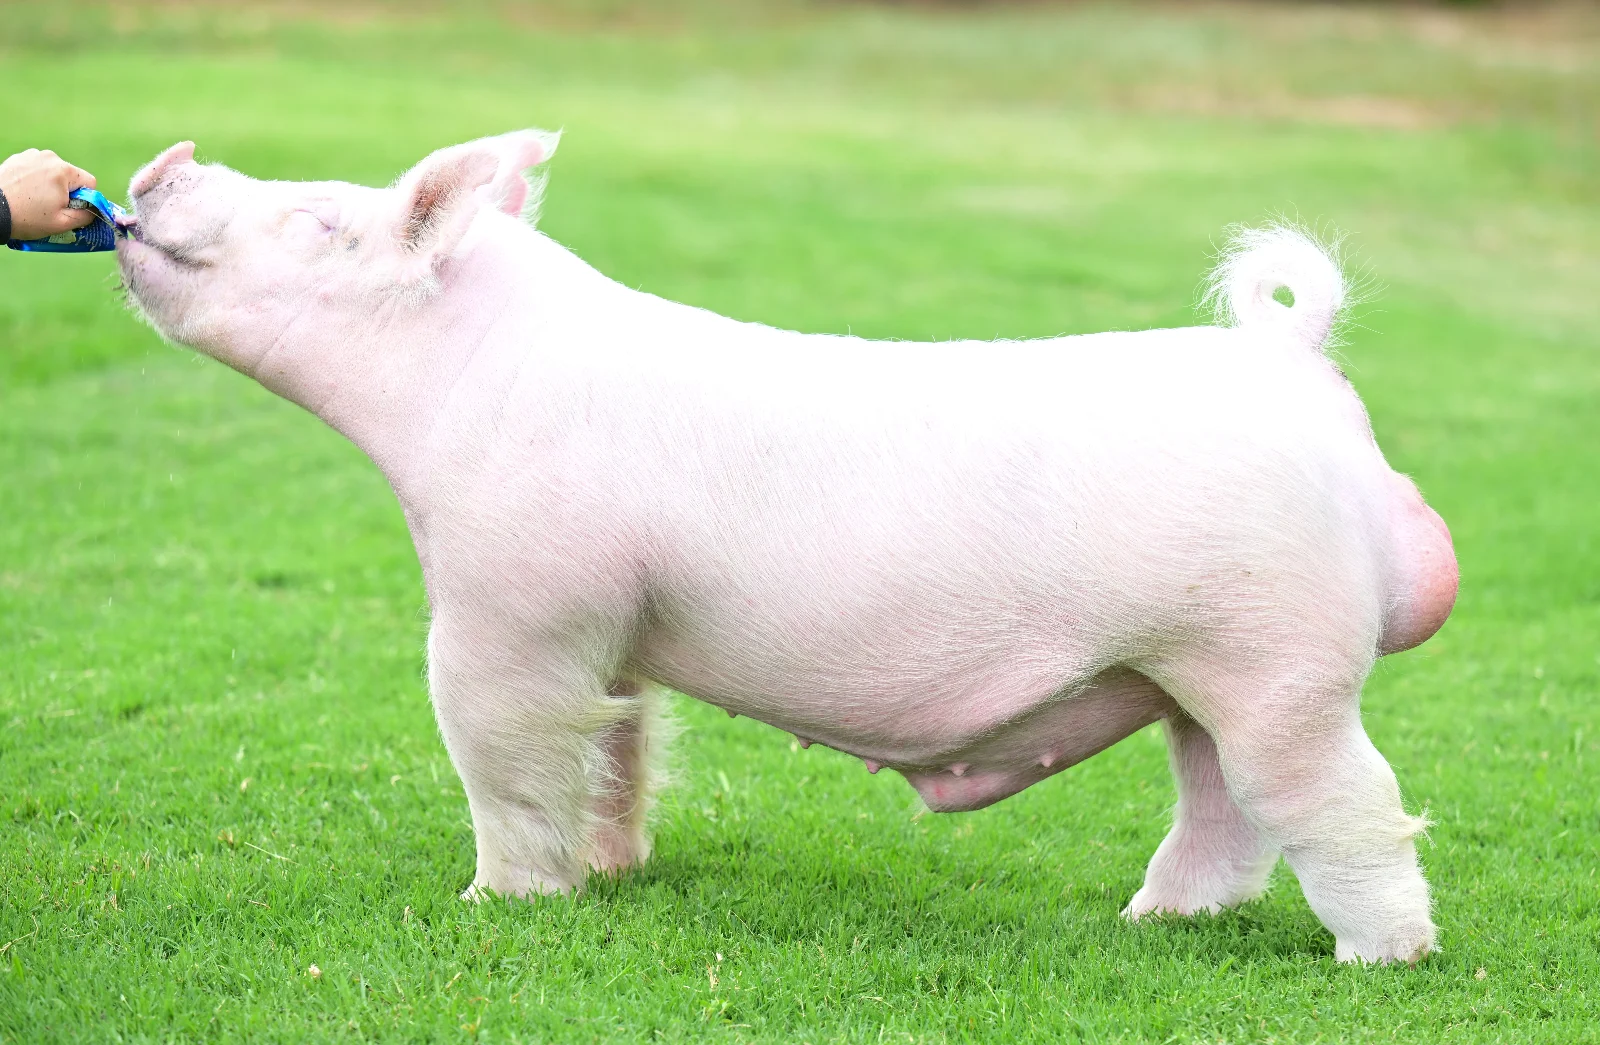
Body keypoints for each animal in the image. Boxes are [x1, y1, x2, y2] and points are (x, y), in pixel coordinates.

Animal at [116, 132, 1458, 964]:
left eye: (322, 220)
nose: (167, 159)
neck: (461, 385)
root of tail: (1295, 363)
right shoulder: (612, 629)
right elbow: (619, 742)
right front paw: (611, 872)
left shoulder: (513, 605)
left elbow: (502, 751)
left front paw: (499, 899)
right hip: (1187, 671)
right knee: (1222, 806)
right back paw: (1152, 923)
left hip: (1272, 654)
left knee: (1341, 801)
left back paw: (1381, 959)